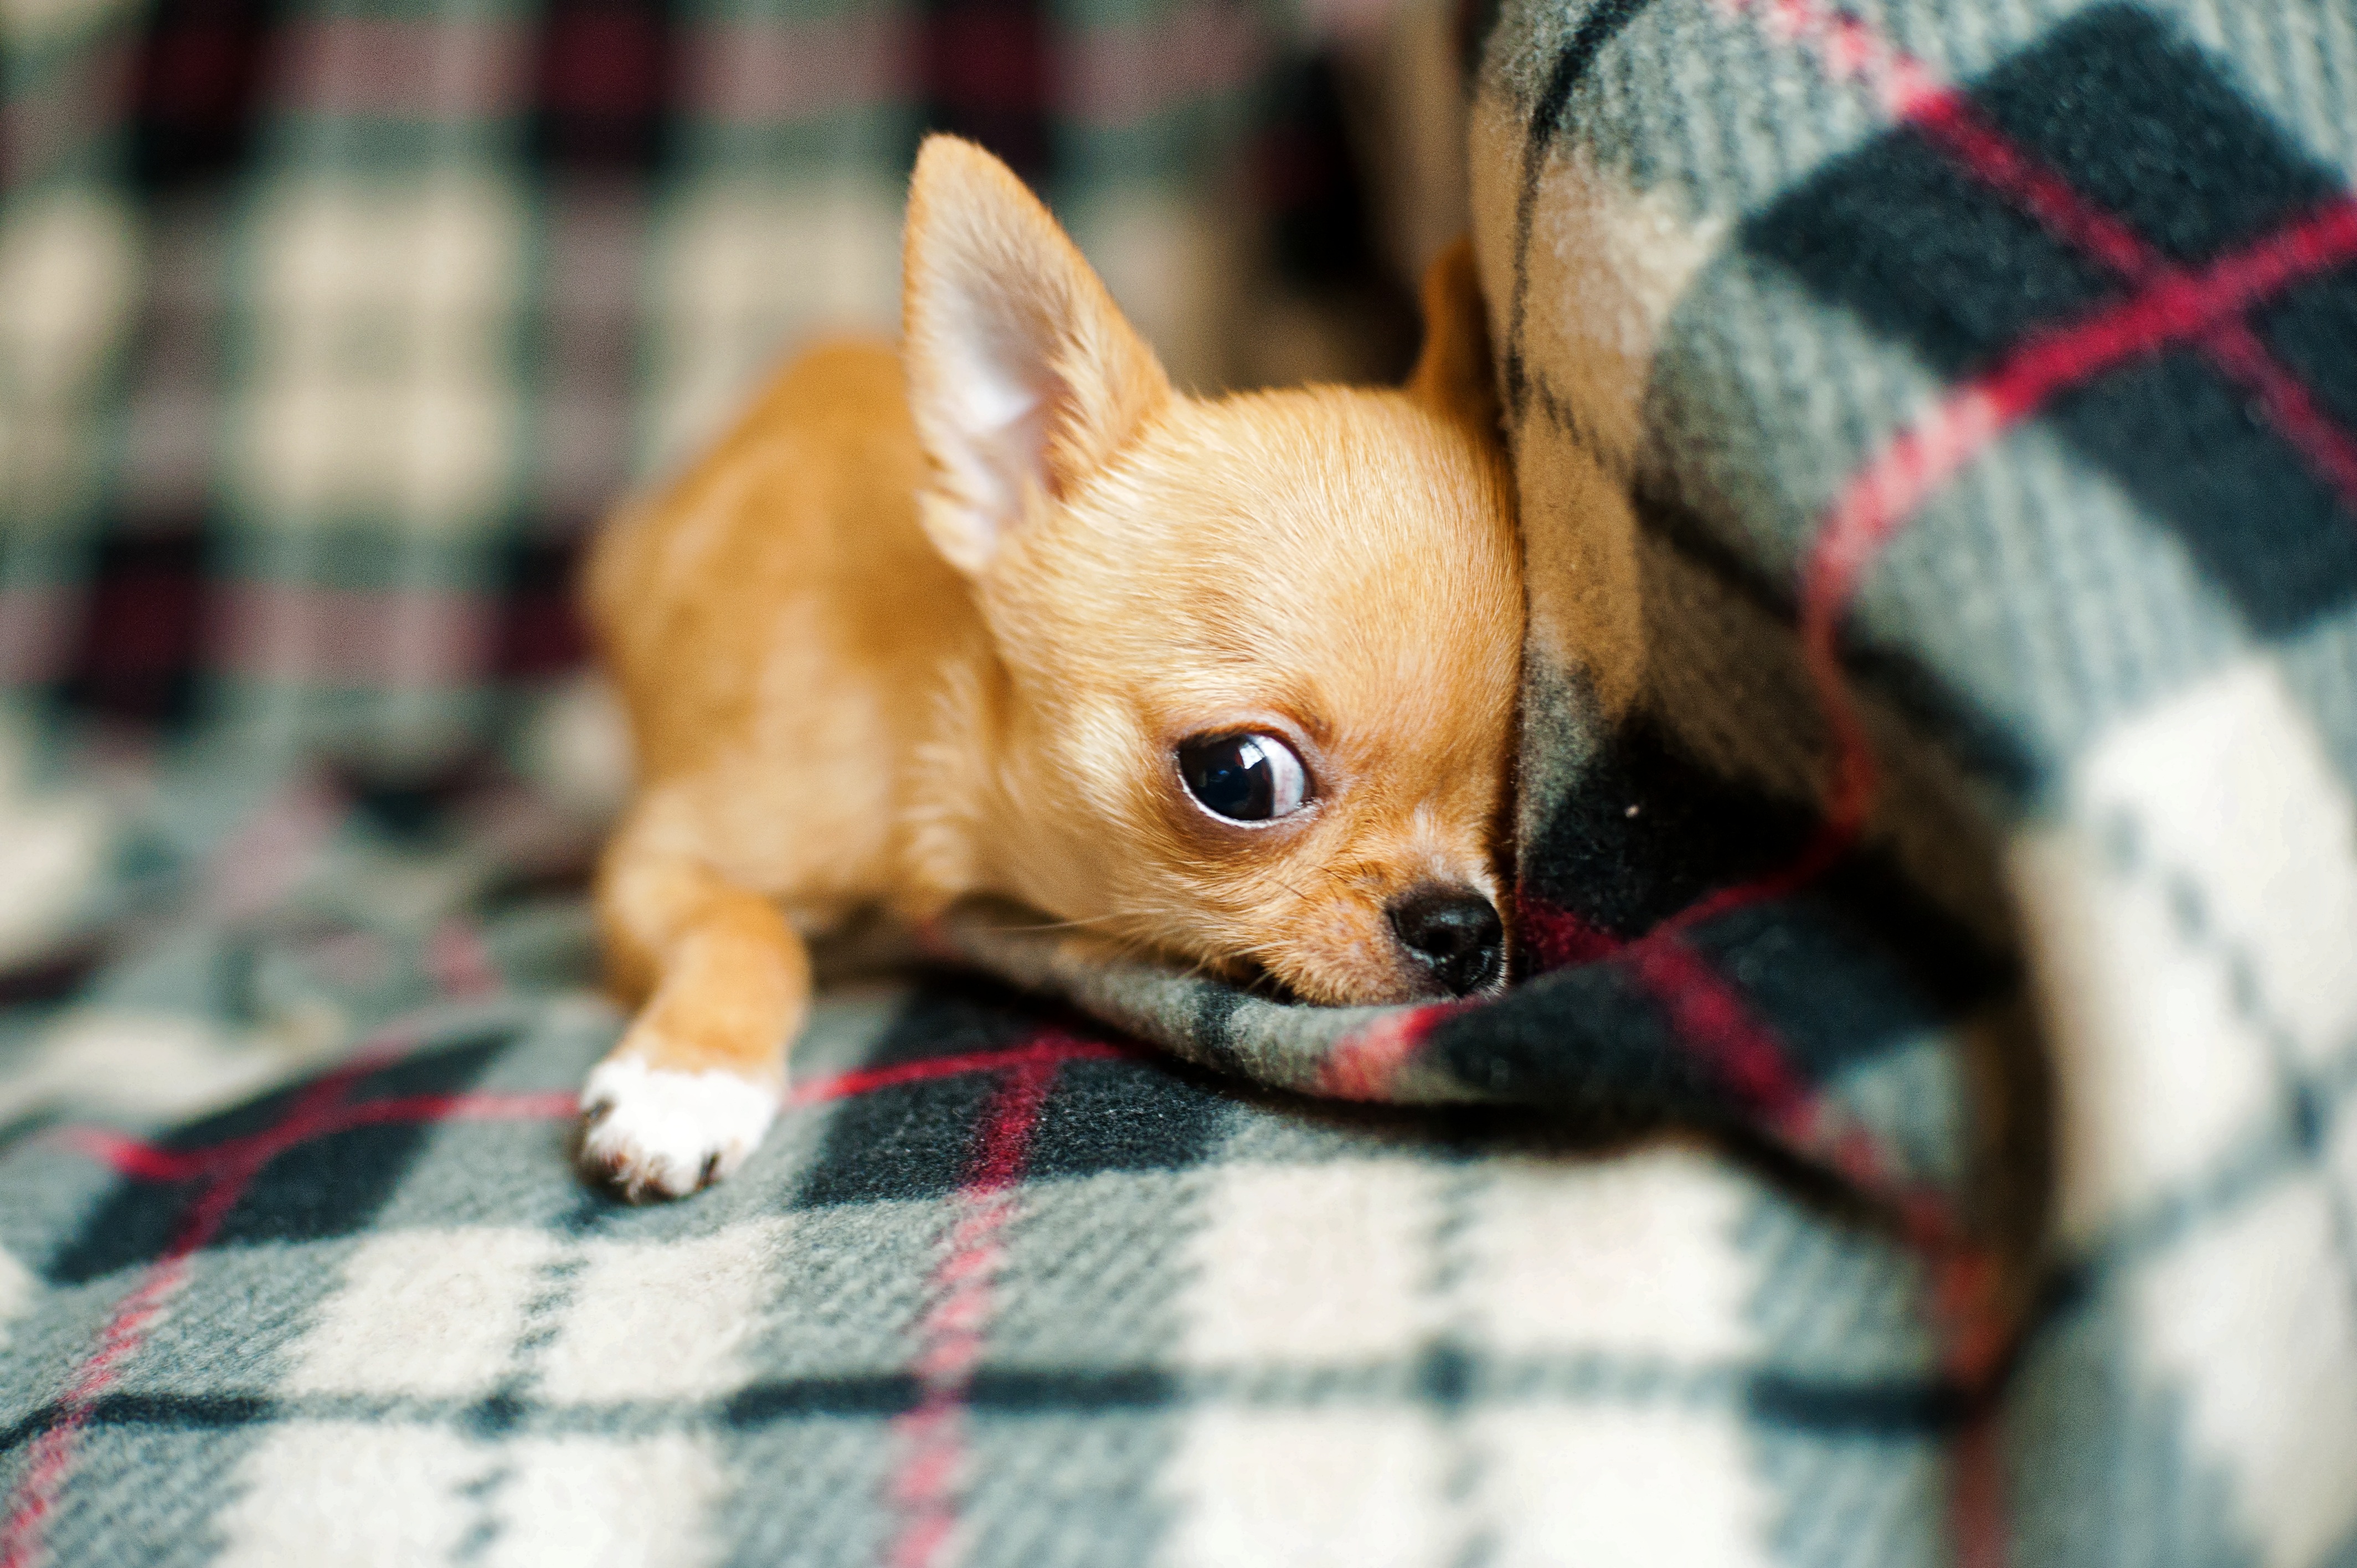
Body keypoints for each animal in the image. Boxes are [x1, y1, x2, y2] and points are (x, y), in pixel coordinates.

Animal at [579, 137, 1517, 1198]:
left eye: (1511, 779)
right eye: (1238, 777)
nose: (1462, 928)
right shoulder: (656, 861)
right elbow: (749, 927)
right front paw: (688, 1080)